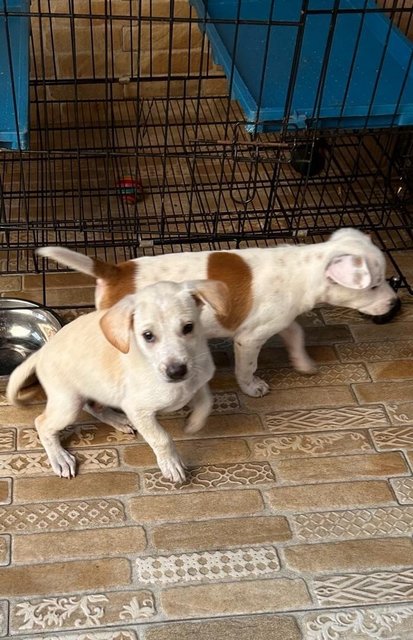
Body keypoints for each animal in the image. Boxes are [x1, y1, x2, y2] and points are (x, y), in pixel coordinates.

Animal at [6, 280, 227, 480]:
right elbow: (162, 438)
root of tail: (42, 351)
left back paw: (119, 420)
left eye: (188, 327)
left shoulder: (200, 379)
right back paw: (60, 457)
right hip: (68, 403)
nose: (177, 371)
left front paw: (193, 423)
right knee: (42, 423)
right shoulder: (138, 409)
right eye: (148, 335)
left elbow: (206, 402)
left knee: (93, 406)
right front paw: (172, 465)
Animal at [37, 228, 396, 398]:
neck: (303, 267)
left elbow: (296, 333)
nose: (393, 303)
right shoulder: (249, 339)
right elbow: (247, 367)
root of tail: (113, 270)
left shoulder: (279, 320)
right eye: (375, 284)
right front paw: (252, 387)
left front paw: (303, 363)